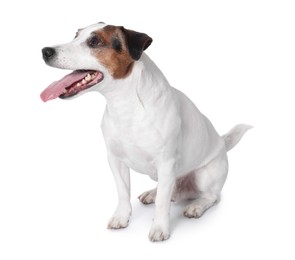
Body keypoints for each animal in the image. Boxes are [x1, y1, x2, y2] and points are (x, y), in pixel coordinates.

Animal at [40, 22, 251, 242]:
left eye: (94, 41)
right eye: (75, 35)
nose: (45, 51)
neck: (125, 105)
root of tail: (222, 143)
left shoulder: (166, 162)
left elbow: (162, 204)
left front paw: (160, 228)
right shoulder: (115, 160)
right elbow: (123, 192)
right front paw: (121, 217)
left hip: (204, 175)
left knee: (211, 196)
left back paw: (196, 206)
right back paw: (153, 193)